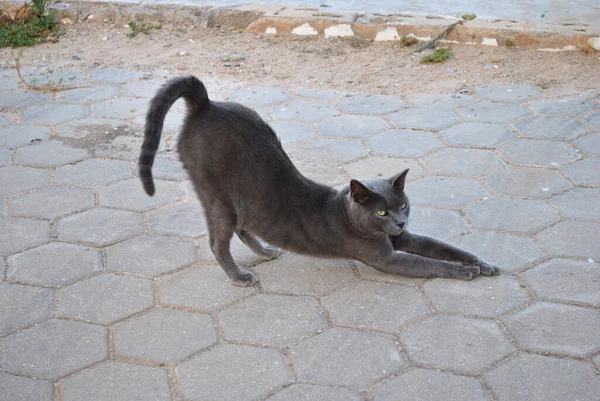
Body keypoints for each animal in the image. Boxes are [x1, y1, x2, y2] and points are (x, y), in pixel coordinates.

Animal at [138, 76, 500, 284]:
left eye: (404, 205)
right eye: (381, 212)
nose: (399, 222)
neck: (347, 214)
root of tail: (205, 102)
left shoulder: (404, 239)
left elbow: (442, 247)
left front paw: (481, 263)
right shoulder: (386, 257)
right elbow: (426, 263)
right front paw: (464, 272)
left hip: (239, 196)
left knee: (242, 226)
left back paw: (265, 252)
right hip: (214, 192)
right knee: (218, 241)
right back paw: (240, 276)